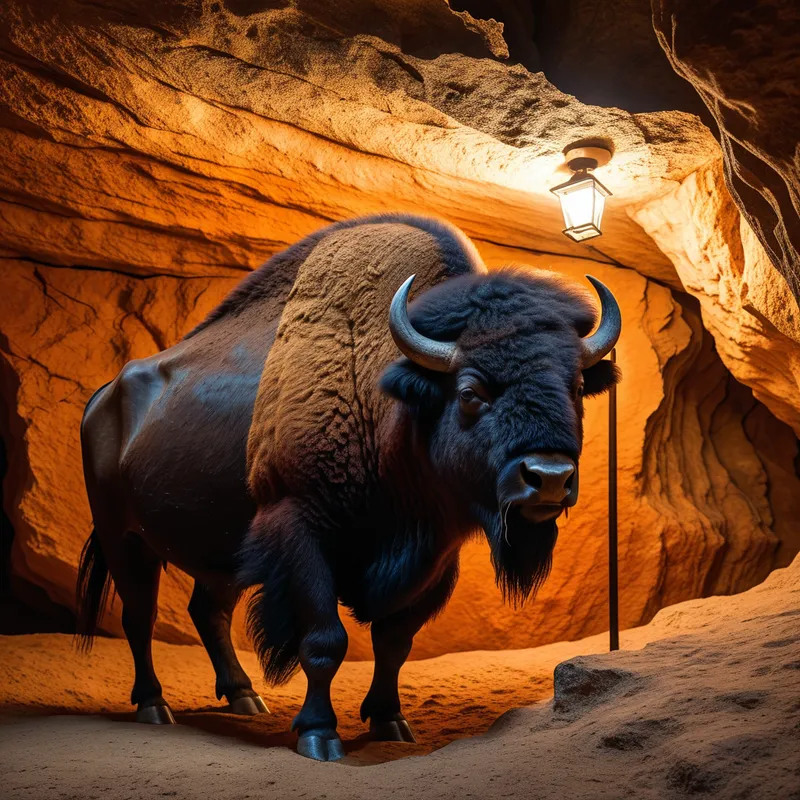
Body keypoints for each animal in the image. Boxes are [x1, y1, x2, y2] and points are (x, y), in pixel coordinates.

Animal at [78, 214, 621, 761]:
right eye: (470, 391)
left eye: (577, 386)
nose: (548, 477)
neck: (386, 398)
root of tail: (103, 396)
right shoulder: (300, 531)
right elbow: (325, 641)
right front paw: (319, 735)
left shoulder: (434, 559)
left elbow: (395, 642)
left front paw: (389, 721)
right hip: (124, 538)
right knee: (139, 615)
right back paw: (154, 706)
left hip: (220, 552)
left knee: (208, 611)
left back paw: (246, 697)